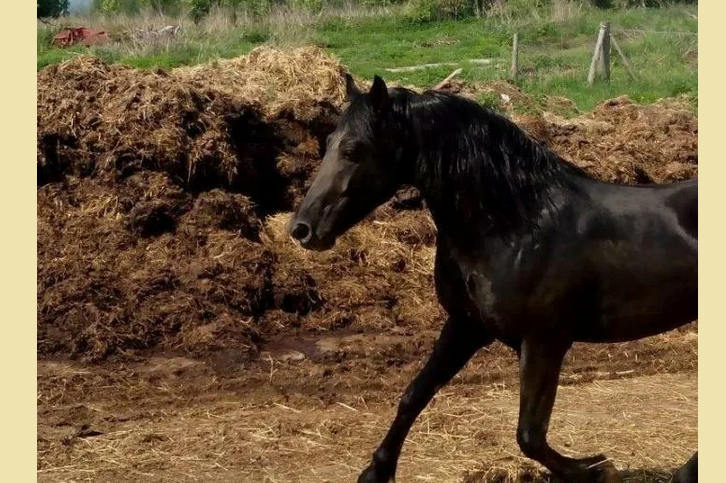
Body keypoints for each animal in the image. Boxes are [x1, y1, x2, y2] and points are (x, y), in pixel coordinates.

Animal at [289, 74, 698, 483]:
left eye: (353, 150)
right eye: (328, 143)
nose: (302, 229)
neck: (516, 225)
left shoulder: (544, 340)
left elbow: (529, 435)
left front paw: (597, 468)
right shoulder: (466, 326)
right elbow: (413, 395)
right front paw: (375, 471)